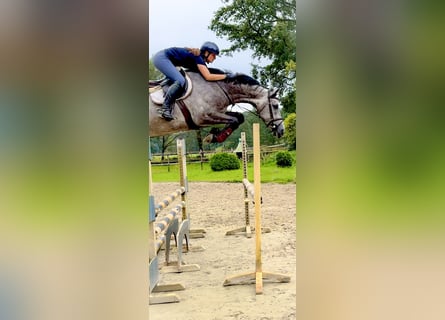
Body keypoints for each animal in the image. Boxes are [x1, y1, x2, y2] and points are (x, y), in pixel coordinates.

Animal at [147, 69, 282, 143]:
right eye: (275, 106)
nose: (281, 131)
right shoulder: (204, 117)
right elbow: (234, 119)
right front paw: (213, 137)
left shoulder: (218, 112)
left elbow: (239, 117)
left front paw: (214, 135)